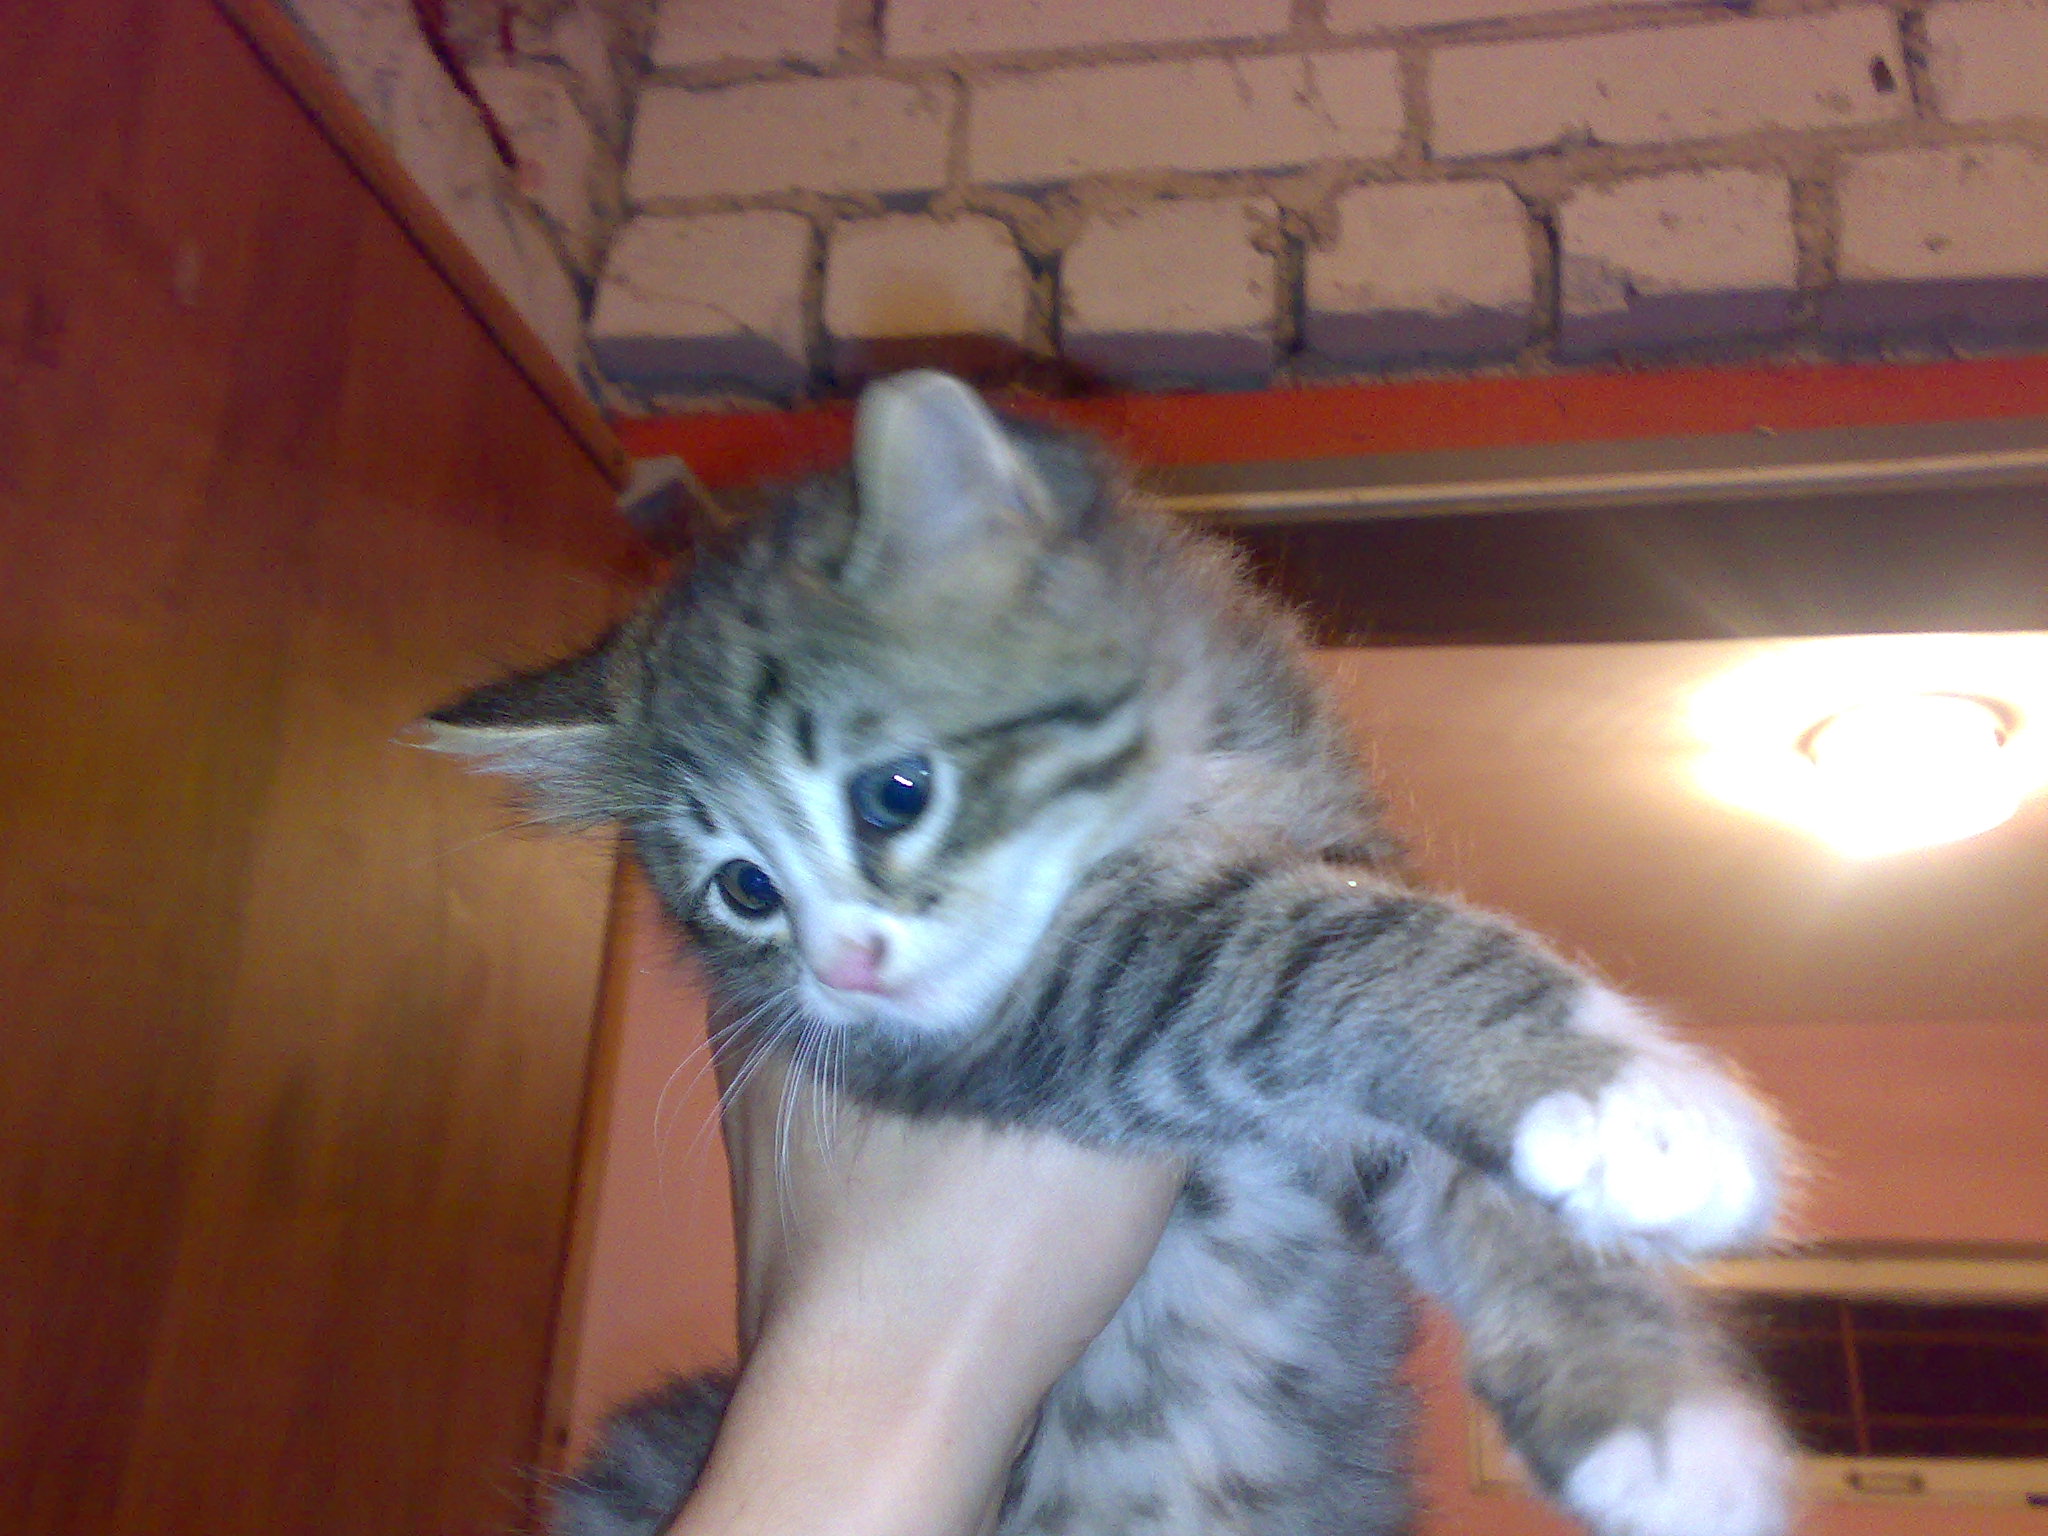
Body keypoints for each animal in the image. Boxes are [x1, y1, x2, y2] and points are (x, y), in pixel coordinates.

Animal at [426, 371, 1795, 1536]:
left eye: (892, 793)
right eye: (744, 891)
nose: (840, 968)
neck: (1186, 793)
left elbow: (1462, 1177)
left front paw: (1656, 1422)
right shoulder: (1077, 1012)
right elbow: (1306, 957)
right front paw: (1628, 1105)